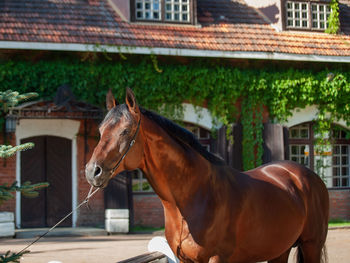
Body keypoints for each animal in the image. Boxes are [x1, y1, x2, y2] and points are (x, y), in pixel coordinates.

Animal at [85, 89, 328, 263]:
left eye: (125, 131)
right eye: (101, 130)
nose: (92, 171)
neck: (195, 196)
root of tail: (307, 176)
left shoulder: (216, 258)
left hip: (312, 245)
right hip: (279, 250)